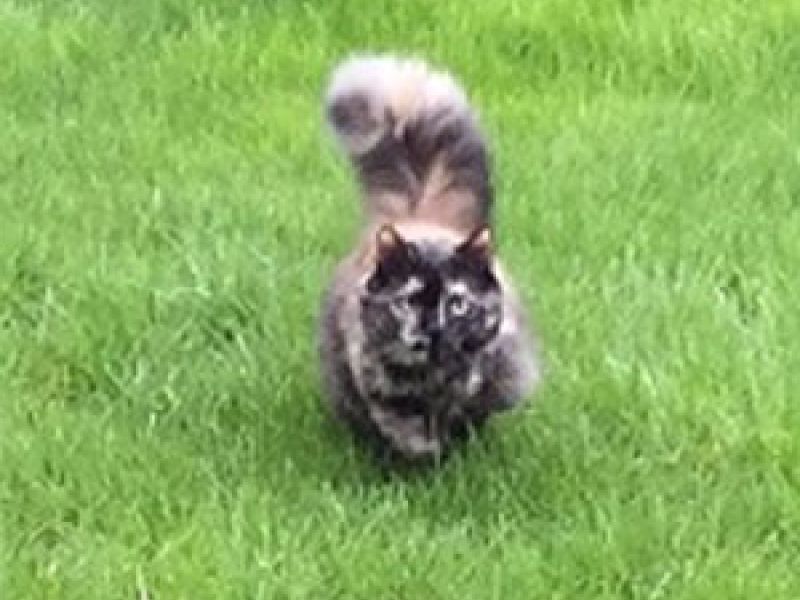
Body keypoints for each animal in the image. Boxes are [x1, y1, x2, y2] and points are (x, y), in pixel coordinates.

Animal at [318, 54, 540, 465]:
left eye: (457, 304)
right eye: (410, 301)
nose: (434, 331)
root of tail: (419, 213)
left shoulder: (503, 369)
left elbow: (475, 389)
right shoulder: (375, 376)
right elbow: (400, 421)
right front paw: (421, 449)